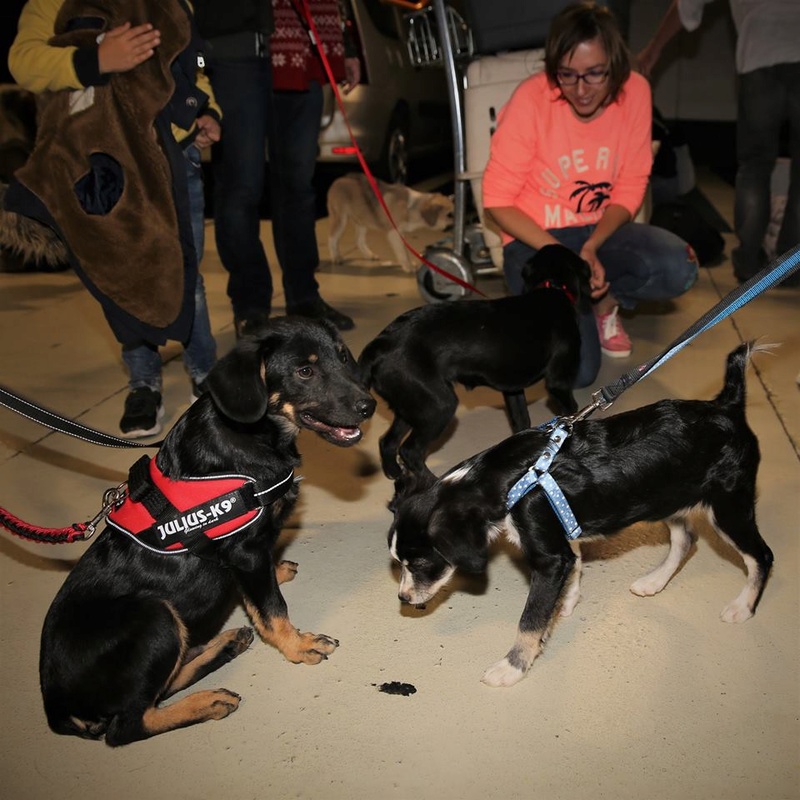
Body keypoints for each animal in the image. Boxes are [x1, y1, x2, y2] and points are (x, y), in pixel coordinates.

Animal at [37, 318, 376, 744]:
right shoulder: (245, 553)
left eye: (343, 356)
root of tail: (55, 706)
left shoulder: (247, 558)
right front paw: (298, 646)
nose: (370, 406)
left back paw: (225, 645)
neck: (249, 435)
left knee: (164, 685)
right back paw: (208, 700)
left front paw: (273, 576)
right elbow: (273, 610)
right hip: (155, 616)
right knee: (128, 725)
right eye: (304, 371)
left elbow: (260, 597)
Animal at [360, 244, 592, 478]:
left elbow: (522, 422)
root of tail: (381, 343)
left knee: (387, 442)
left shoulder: (512, 391)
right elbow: (572, 417)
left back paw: (396, 474)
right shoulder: (558, 385)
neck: (552, 286)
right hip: (438, 406)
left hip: (412, 407)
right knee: (410, 451)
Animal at [388, 344, 776, 688]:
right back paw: (654, 581)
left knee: (761, 556)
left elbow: (530, 619)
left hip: (728, 506)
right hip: (667, 497)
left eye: (420, 564)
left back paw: (743, 606)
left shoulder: (548, 557)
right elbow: (574, 565)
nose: (403, 599)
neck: (509, 479)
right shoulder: (561, 539)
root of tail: (728, 405)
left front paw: (512, 667)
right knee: (687, 539)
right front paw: (567, 601)